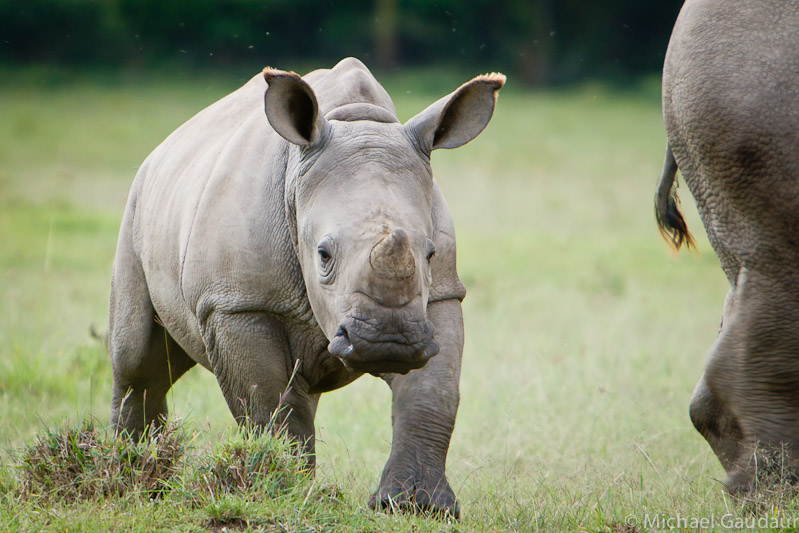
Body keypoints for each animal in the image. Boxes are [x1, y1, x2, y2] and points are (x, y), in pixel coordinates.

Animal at [108, 56, 504, 512]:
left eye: (431, 255)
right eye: (324, 255)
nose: (389, 342)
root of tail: (163, 147)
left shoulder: (439, 295)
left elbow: (433, 394)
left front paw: (416, 505)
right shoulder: (238, 303)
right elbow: (269, 404)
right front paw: (284, 493)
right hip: (136, 205)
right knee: (137, 361)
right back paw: (133, 480)